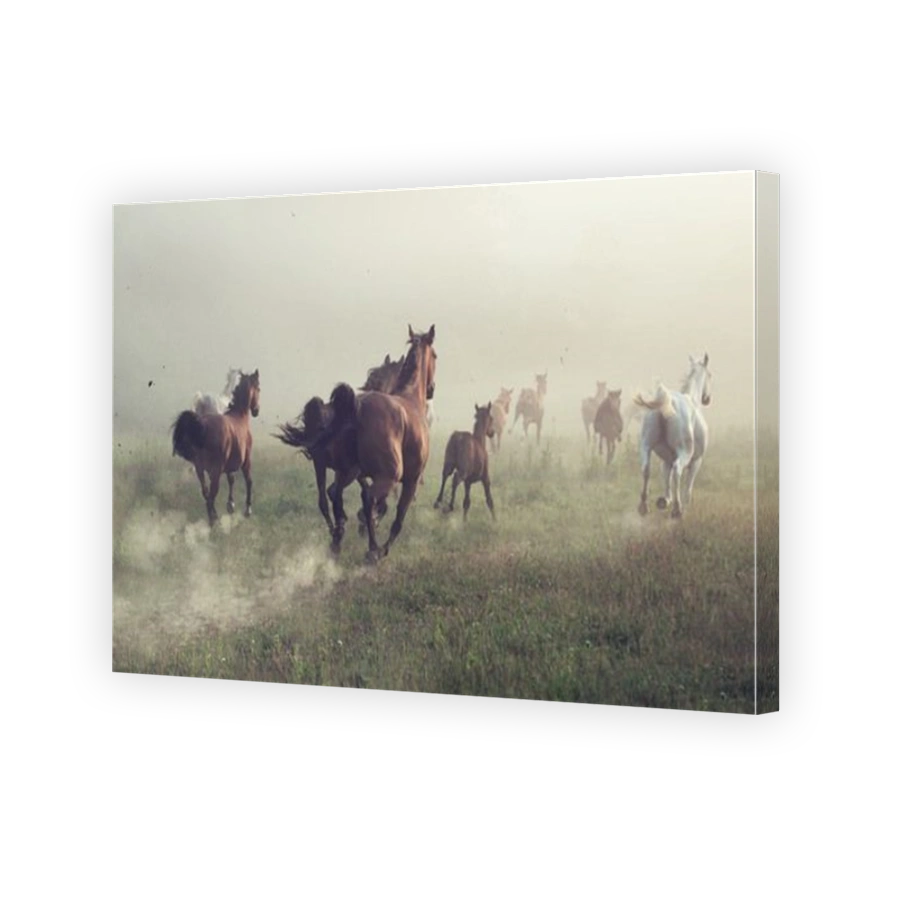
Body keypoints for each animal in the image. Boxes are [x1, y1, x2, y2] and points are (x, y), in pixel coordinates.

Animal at [172, 369, 260, 526]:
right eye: (258, 388)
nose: (256, 410)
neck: (239, 416)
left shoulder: (229, 465)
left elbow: (231, 479)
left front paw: (230, 505)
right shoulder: (246, 461)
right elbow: (249, 481)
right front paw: (247, 510)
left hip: (201, 471)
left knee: (206, 493)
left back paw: (213, 518)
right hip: (215, 471)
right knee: (211, 497)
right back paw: (214, 521)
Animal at [273, 353, 404, 540]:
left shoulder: (350, 471)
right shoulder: (361, 471)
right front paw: (369, 519)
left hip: (321, 464)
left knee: (323, 500)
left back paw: (336, 529)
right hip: (345, 469)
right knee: (334, 493)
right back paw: (341, 528)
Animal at [306, 324, 436, 564]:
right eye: (435, 355)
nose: (431, 388)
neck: (410, 399)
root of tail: (356, 408)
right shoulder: (410, 479)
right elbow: (398, 516)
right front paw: (382, 546)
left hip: (341, 470)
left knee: (331, 496)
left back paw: (338, 537)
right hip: (384, 476)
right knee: (365, 498)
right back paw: (372, 548)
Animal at [634, 354, 711, 519]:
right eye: (710, 375)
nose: (707, 399)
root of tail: (666, 402)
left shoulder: (666, 460)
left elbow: (666, 480)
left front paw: (665, 501)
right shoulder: (696, 461)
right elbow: (687, 488)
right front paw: (682, 504)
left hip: (645, 446)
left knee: (646, 469)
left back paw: (644, 506)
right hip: (685, 452)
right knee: (677, 471)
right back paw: (677, 509)